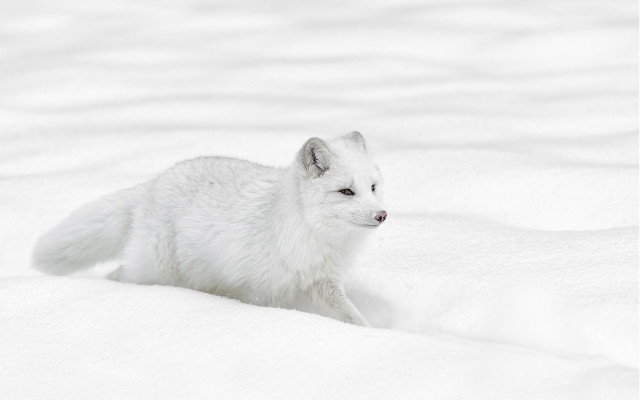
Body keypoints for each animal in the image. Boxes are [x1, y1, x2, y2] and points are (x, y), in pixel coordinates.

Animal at [32, 131, 387, 326]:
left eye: (372, 187)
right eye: (346, 192)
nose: (382, 214)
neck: (311, 234)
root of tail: (155, 181)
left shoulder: (323, 283)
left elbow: (353, 317)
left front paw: (372, 333)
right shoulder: (262, 290)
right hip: (155, 270)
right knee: (118, 274)